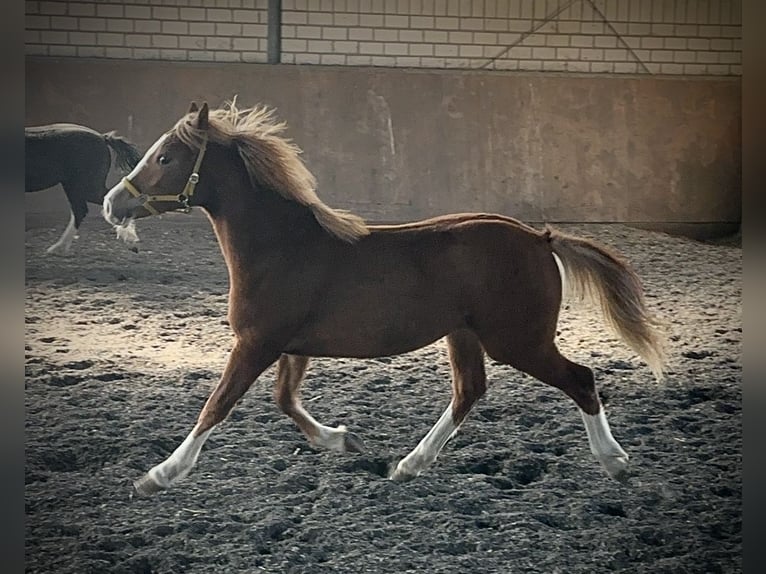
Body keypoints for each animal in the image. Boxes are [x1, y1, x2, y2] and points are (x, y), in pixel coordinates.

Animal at [102, 101, 664, 498]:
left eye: (166, 157)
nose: (112, 203)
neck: (283, 246)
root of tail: (541, 238)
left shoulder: (256, 343)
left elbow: (215, 407)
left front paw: (157, 475)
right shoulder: (290, 346)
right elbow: (285, 400)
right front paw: (343, 439)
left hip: (518, 340)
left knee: (581, 380)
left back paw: (615, 462)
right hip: (465, 334)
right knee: (469, 391)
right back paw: (408, 466)